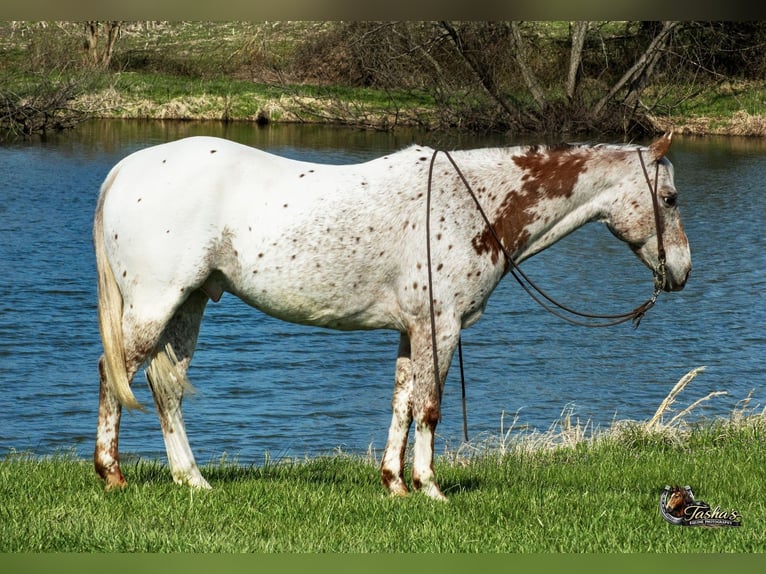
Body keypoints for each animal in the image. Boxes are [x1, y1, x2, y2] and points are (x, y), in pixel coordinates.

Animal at [93, 132, 691, 500]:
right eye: (671, 197)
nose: (682, 271)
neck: (474, 203)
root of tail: (125, 170)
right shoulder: (440, 326)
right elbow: (428, 407)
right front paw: (431, 487)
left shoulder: (412, 331)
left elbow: (401, 403)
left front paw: (395, 484)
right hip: (156, 305)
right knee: (114, 374)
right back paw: (112, 475)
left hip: (189, 304)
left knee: (166, 388)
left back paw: (191, 480)